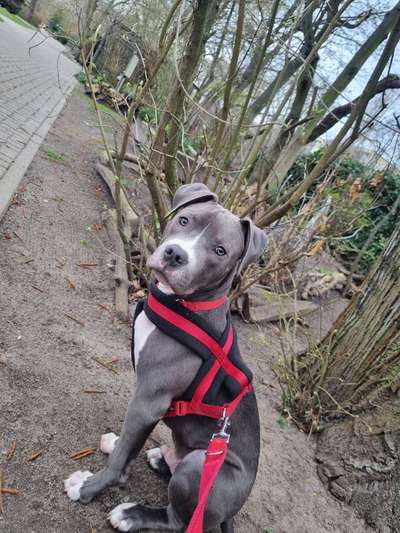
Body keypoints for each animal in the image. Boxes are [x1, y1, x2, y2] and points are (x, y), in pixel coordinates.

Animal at [65, 184, 266, 532]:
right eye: (184, 220)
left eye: (220, 251)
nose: (175, 254)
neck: (184, 306)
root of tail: (233, 511)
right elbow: (127, 447)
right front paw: (117, 445)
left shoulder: (149, 400)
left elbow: (119, 461)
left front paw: (89, 488)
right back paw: (160, 458)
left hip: (199, 465)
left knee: (178, 520)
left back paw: (131, 515)